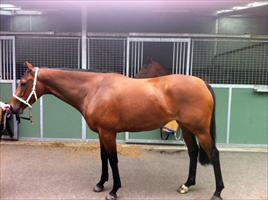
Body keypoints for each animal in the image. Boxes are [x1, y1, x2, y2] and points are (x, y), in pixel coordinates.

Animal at [10, 61, 224, 199]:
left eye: (23, 83)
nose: (12, 108)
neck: (94, 89)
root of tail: (202, 82)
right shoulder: (101, 132)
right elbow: (104, 157)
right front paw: (100, 184)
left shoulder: (108, 132)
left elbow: (113, 159)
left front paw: (114, 191)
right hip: (187, 129)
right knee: (193, 152)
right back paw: (186, 185)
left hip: (201, 130)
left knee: (213, 154)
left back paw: (217, 192)